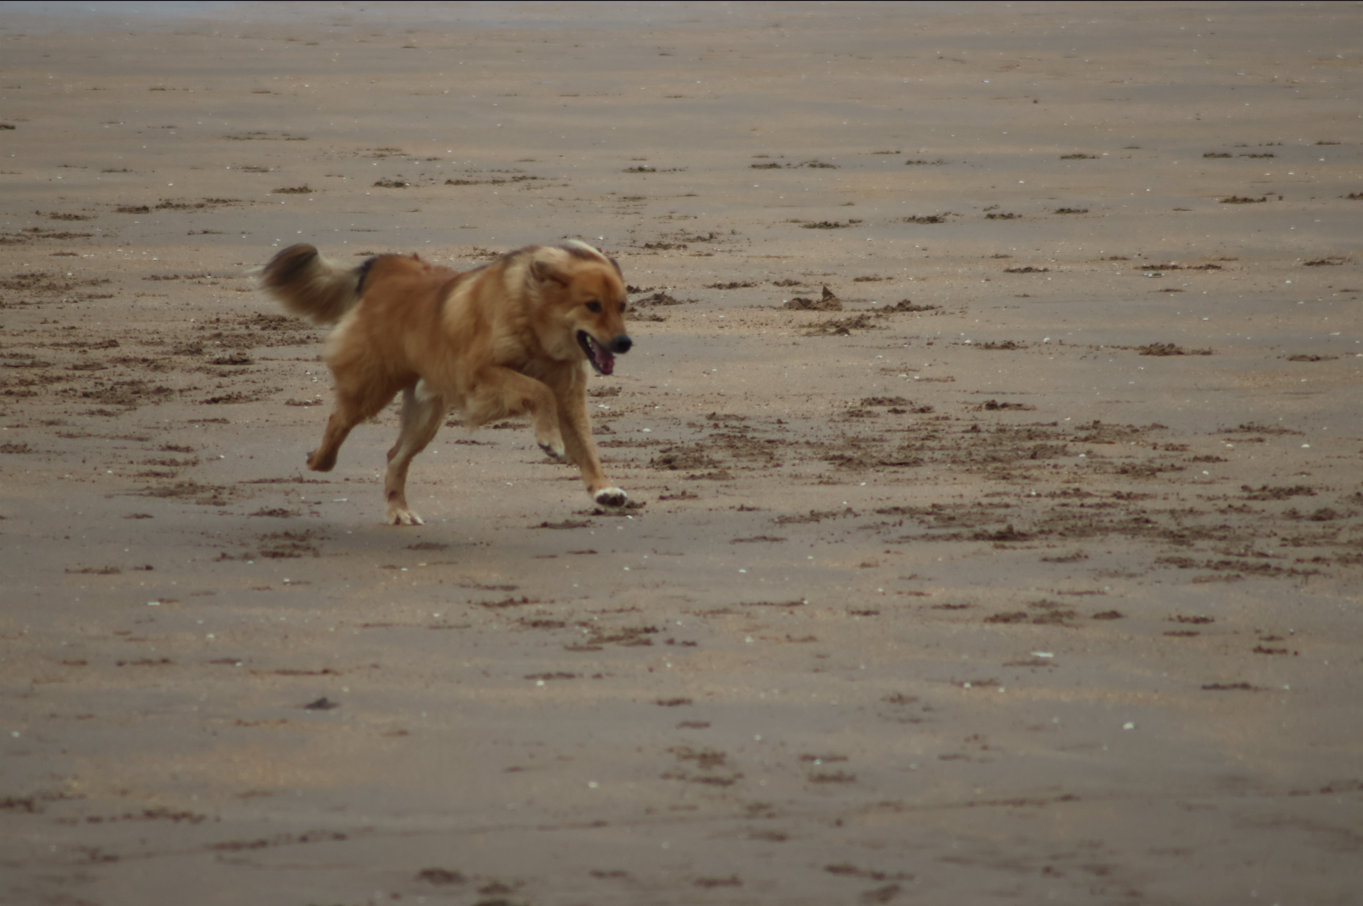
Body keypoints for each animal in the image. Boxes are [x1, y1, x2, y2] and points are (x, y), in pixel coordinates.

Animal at [256, 239, 632, 523]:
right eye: (592, 306)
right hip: (371, 387)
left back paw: (398, 509)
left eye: (622, 306)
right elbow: (539, 392)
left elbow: (585, 445)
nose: (625, 343)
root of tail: (387, 267)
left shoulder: (567, 394)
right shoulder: (480, 374)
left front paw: (602, 487)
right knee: (339, 419)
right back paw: (321, 461)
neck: (531, 320)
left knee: (395, 456)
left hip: (425, 413)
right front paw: (549, 439)